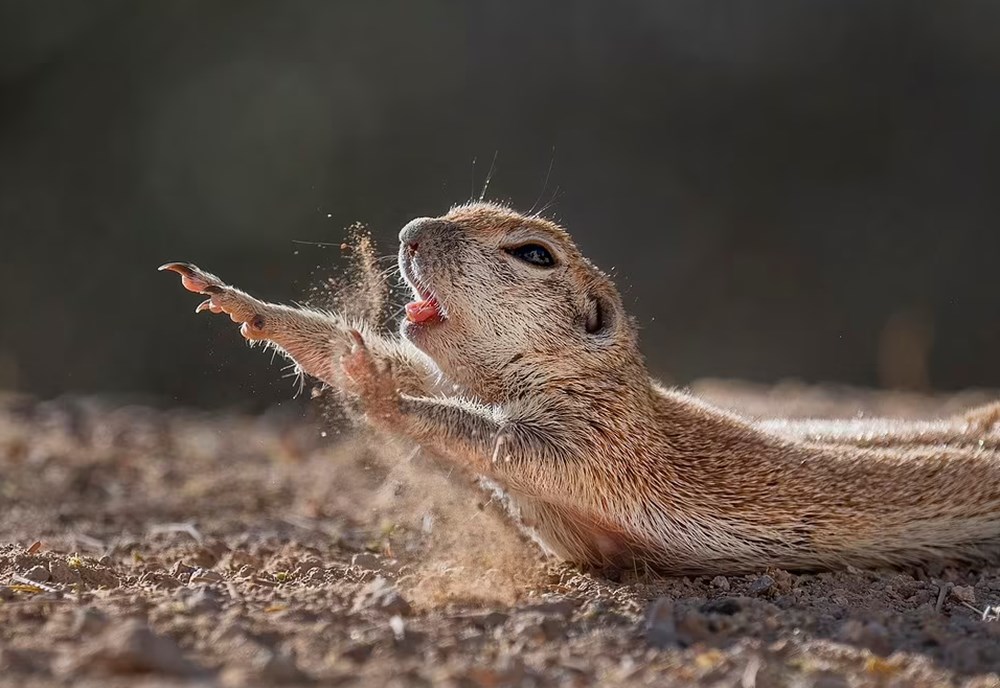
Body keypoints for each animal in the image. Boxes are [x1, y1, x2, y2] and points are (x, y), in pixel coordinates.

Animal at [160, 203, 1000, 576]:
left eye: (533, 254)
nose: (408, 233)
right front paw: (248, 306)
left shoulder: (600, 442)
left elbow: (497, 440)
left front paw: (379, 395)